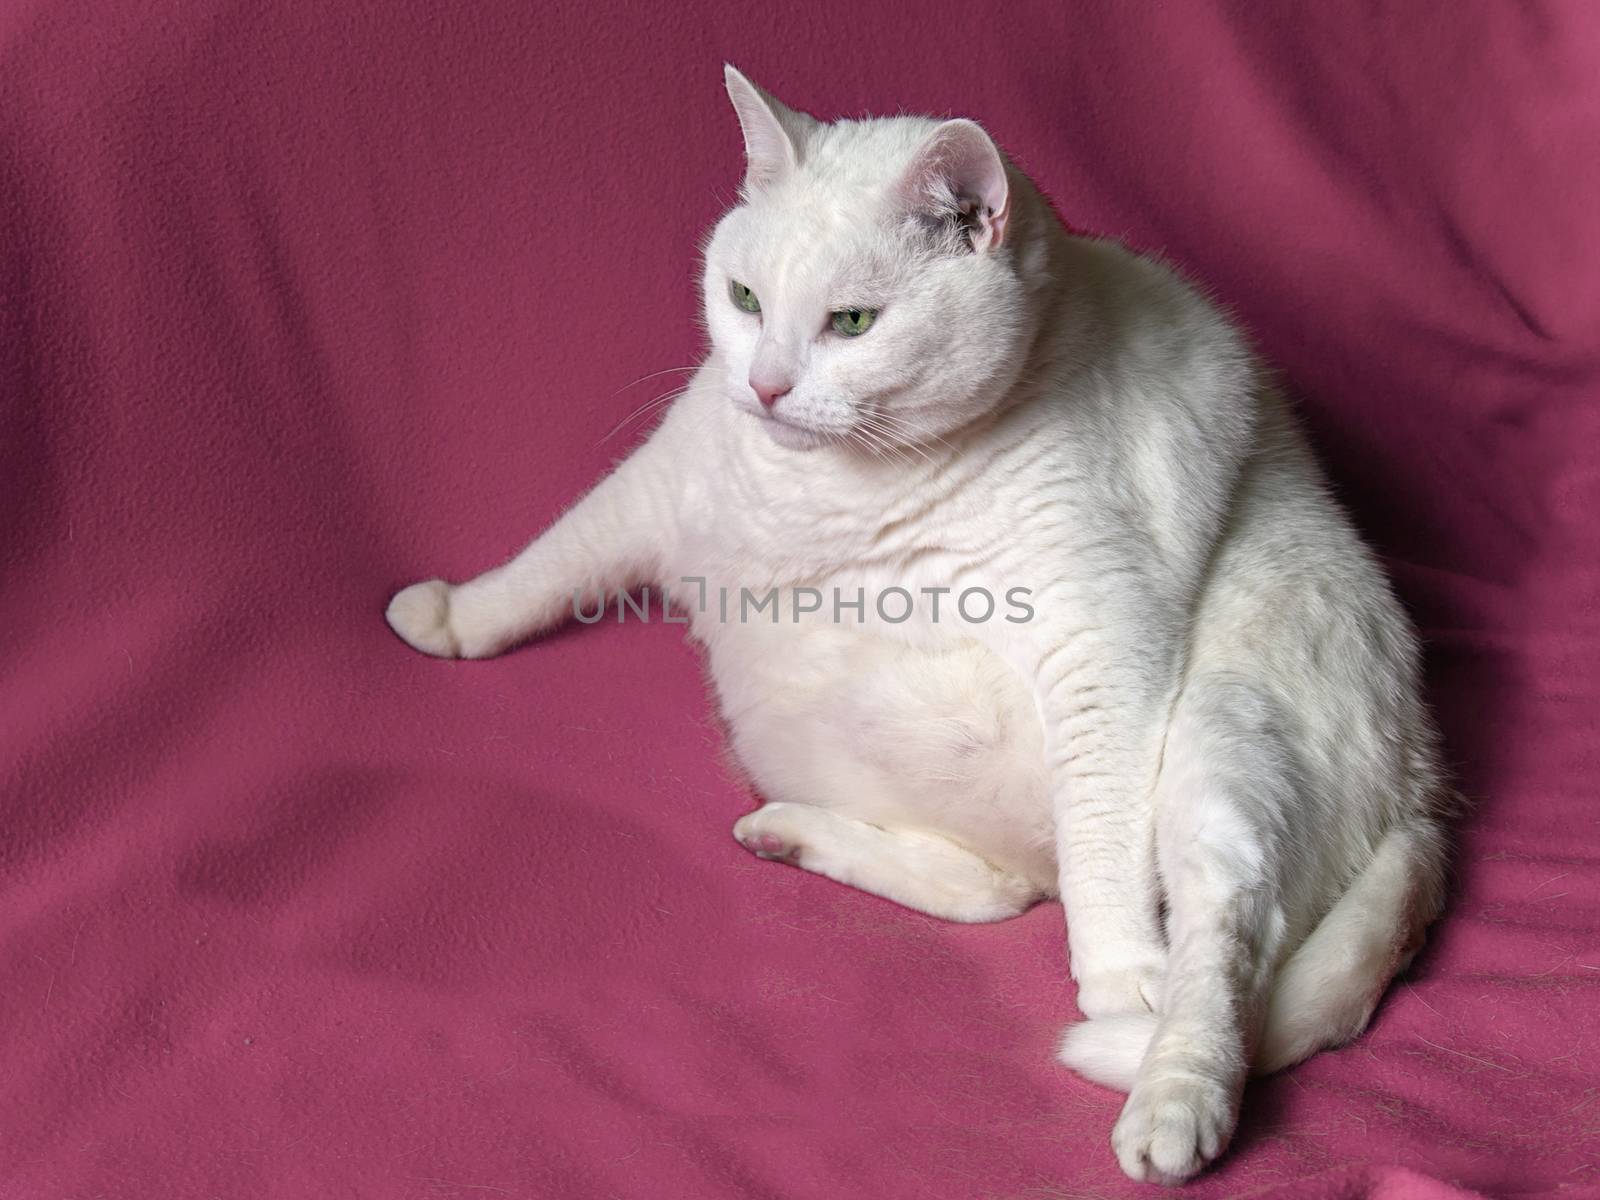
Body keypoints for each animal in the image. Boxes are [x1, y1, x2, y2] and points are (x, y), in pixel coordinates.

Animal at [387, 65, 1452, 1184]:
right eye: (744, 298)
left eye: (852, 323)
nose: (765, 384)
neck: (840, 488)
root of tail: (1427, 791)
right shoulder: (659, 485)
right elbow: (555, 558)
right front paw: (455, 617)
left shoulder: (1096, 642)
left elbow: (1107, 852)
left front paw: (1121, 973)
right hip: (805, 734)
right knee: (995, 890)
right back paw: (791, 837)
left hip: (1229, 732)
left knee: (1224, 929)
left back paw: (1173, 1094)